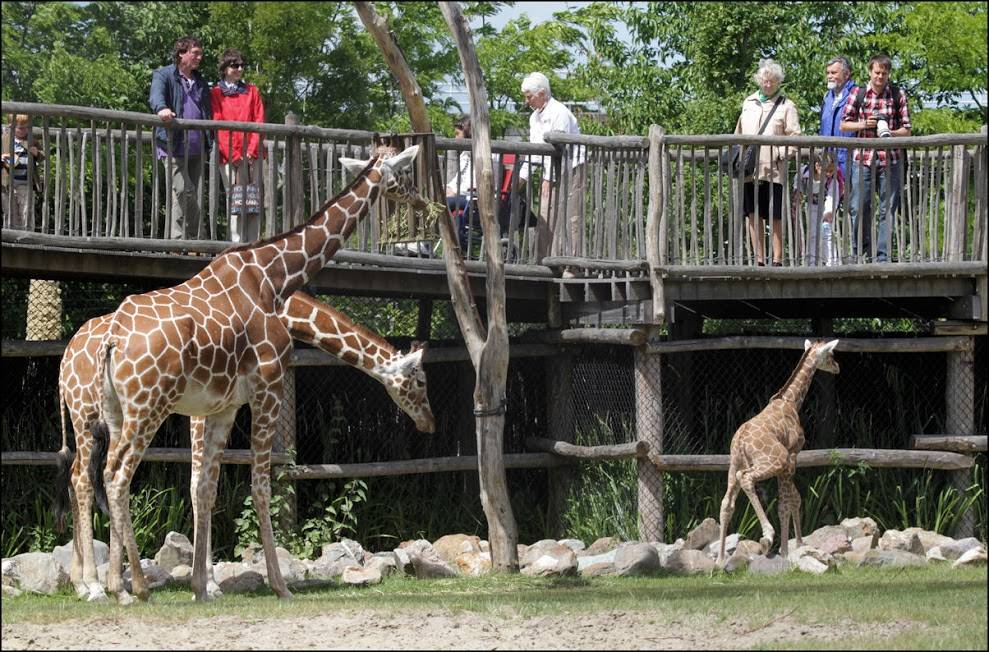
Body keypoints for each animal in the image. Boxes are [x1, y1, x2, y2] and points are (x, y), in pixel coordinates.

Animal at [54, 292, 432, 604]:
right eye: (420, 380)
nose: (428, 422)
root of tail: (64, 362)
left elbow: (203, 487)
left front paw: (207, 583)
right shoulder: (203, 412)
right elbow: (200, 486)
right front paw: (210, 584)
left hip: (95, 419)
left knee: (78, 477)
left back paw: (85, 584)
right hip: (91, 416)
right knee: (88, 480)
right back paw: (96, 587)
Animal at [93, 145, 428, 604]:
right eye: (405, 176)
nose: (423, 202)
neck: (274, 276)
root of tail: (112, 339)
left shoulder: (224, 405)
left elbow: (206, 486)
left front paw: (202, 587)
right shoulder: (268, 388)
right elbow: (262, 486)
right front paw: (280, 584)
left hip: (116, 409)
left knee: (104, 472)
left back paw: (117, 585)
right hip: (148, 405)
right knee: (116, 474)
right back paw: (135, 587)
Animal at [712, 338, 836, 568]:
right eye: (831, 354)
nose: (837, 367)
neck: (791, 400)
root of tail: (740, 442)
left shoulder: (788, 464)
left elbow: (794, 498)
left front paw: (797, 545)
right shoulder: (791, 456)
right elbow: (787, 502)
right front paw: (787, 551)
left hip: (733, 465)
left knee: (726, 503)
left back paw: (721, 560)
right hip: (772, 462)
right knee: (746, 478)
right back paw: (767, 537)